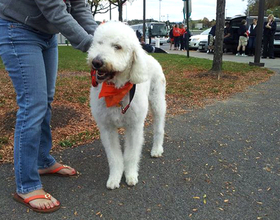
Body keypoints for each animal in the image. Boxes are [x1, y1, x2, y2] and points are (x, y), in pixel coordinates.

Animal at [87, 21, 166, 189]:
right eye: (99, 43)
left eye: (117, 46)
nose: (96, 62)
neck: (116, 90)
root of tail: (149, 57)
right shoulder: (107, 128)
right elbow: (114, 157)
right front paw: (115, 178)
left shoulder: (134, 127)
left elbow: (131, 155)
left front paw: (130, 175)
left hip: (158, 102)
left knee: (159, 128)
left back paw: (157, 149)